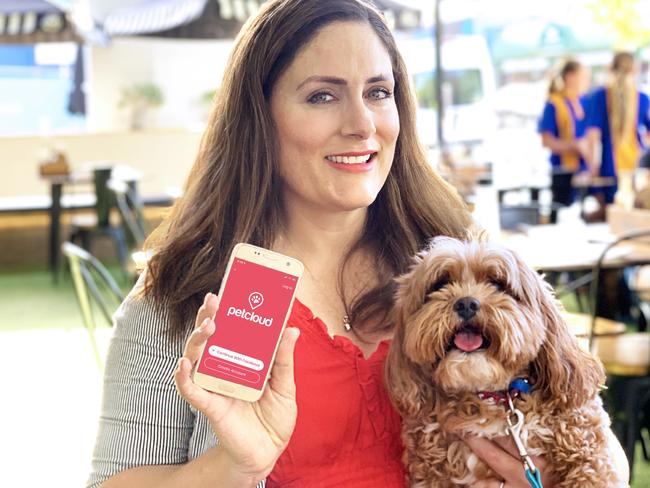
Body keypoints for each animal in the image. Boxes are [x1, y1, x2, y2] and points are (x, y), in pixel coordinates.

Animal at [384, 234, 616, 486]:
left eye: (497, 283)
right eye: (439, 284)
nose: (466, 303)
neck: (495, 396)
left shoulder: (588, 455)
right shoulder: (429, 474)